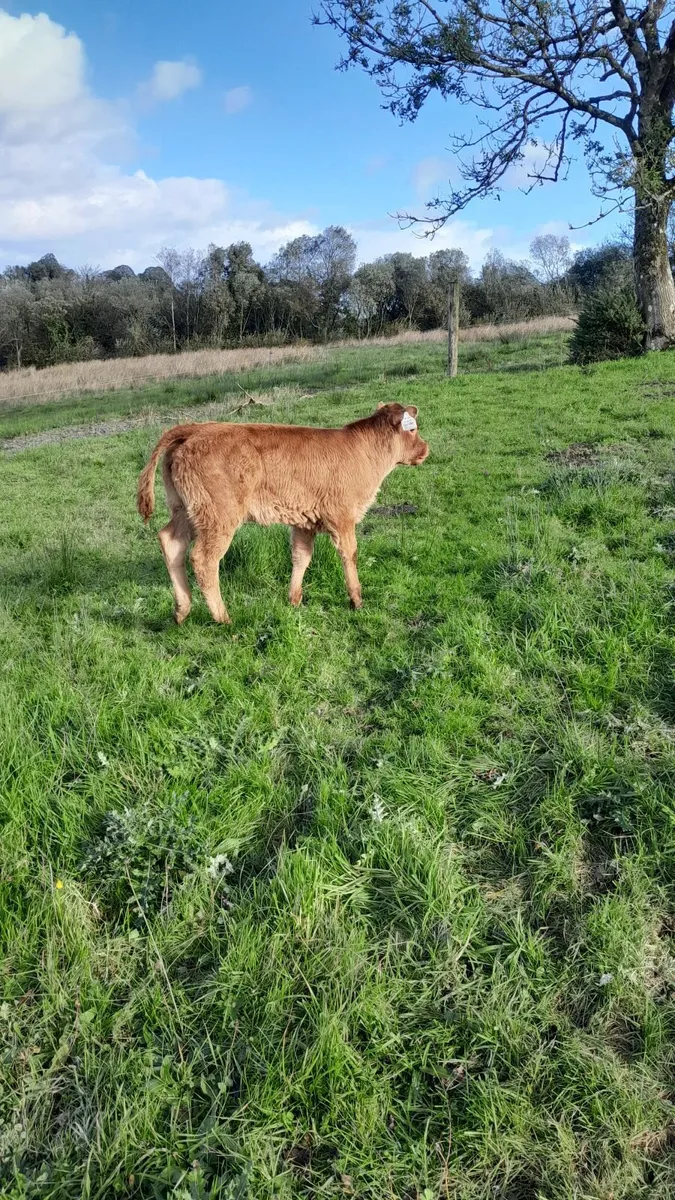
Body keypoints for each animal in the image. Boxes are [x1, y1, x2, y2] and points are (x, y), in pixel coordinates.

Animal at [136, 402, 429, 625]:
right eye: (412, 428)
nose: (425, 449)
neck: (364, 452)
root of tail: (195, 428)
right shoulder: (342, 516)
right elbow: (349, 555)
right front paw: (356, 599)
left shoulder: (305, 520)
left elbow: (301, 557)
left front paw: (295, 599)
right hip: (218, 515)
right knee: (203, 559)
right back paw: (223, 618)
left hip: (185, 509)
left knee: (171, 543)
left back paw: (181, 611)